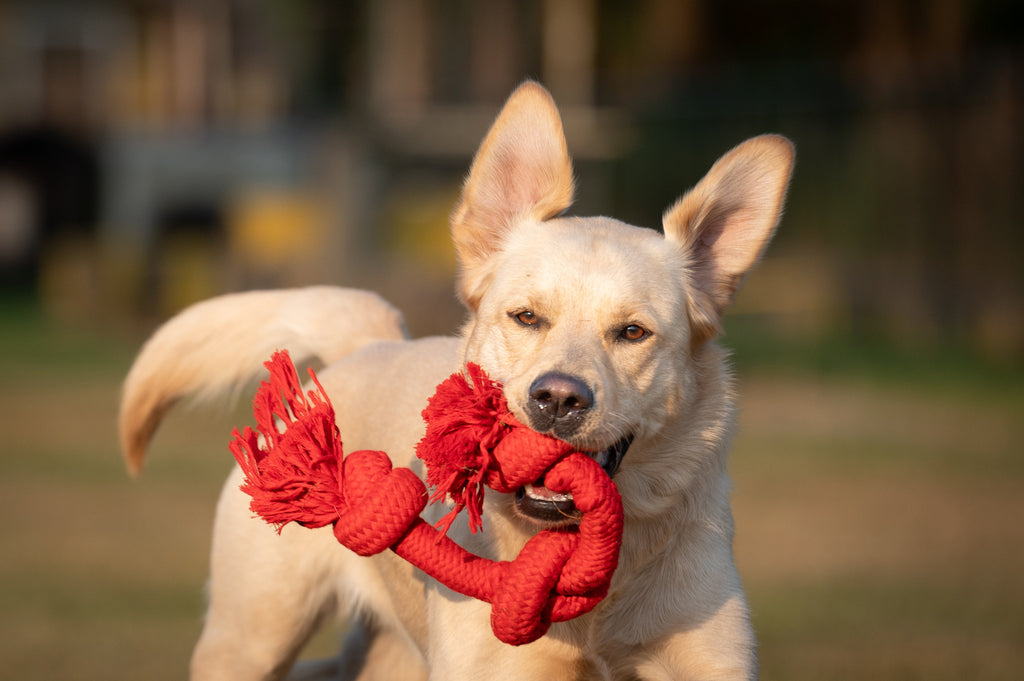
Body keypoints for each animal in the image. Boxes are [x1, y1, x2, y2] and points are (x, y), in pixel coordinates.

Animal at [117, 80, 790, 679]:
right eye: (526, 317)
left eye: (632, 333)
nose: (557, 400)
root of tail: (378, 341)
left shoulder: (709, 661)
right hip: (250, 639)